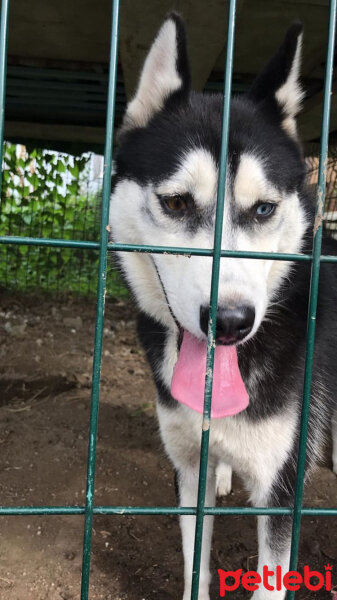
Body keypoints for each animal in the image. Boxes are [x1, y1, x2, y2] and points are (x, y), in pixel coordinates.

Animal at [110, 14, 336, 600]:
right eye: (175, 202)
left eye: (263, 210)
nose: (231, 323)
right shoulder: (189, 468)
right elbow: (196, 561)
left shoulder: (282, 489)